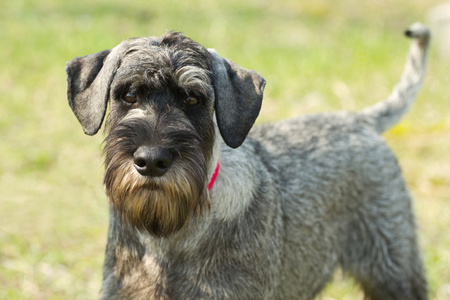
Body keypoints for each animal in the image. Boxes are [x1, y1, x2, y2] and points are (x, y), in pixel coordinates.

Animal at [66, 22, 428, 298]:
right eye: (128, 94)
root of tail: (358, 120)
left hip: (393, 269)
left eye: (192, 98)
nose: (152, 160)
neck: (171, 237)